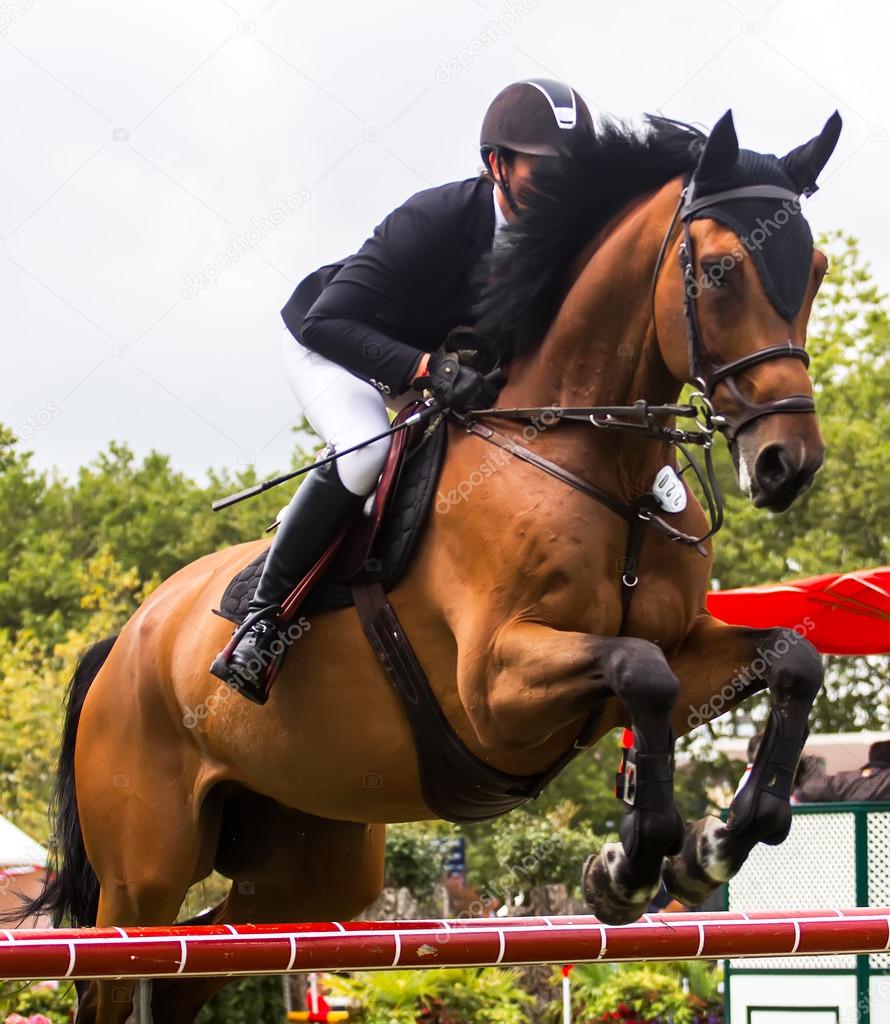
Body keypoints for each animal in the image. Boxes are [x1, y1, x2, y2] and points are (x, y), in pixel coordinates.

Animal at [20, 108, 839, 1019]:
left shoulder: (680, 650)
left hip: (306, 859)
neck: (598, 461)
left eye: (815, 271)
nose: (788, 463)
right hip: (142, 872)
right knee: (121, 963)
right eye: (723, 270)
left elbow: (790, 659)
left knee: (205, 955)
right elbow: (642, 672)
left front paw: (716, 844)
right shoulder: (496, 690)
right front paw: (629, 869)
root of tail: (123, 643)